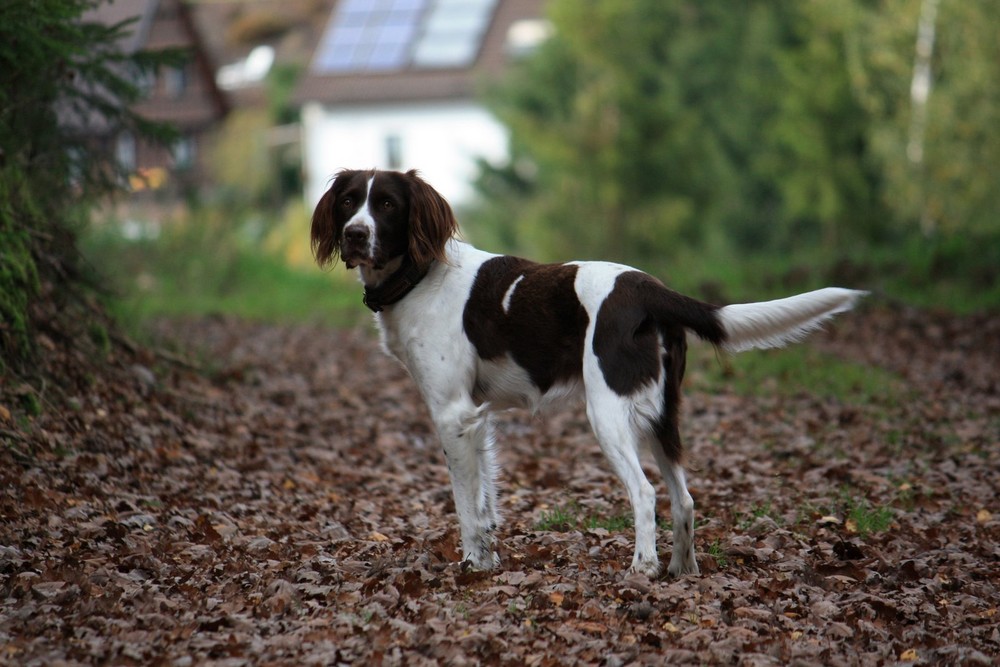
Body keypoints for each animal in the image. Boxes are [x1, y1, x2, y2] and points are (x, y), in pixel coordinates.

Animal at [308, 168, 864, 580]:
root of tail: (651, 290)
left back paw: (642, 569)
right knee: (684, 498)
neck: (421, 274)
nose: (355, 235)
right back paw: (683, 571)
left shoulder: (453, 415)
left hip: (608, 413)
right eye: (349, 201)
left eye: (388, 205)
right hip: (663, 417)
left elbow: (466, 506)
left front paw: (470, 567)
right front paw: (487, 562)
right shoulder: (478, 417)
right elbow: (485, 503)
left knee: (645, 493)